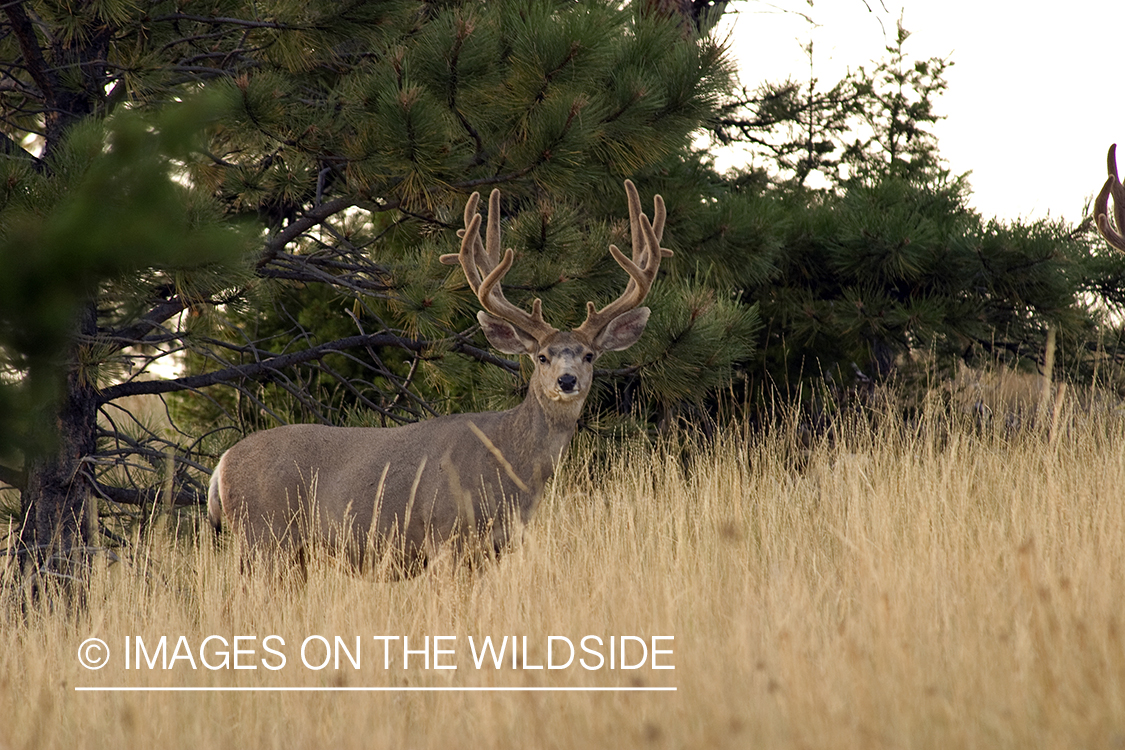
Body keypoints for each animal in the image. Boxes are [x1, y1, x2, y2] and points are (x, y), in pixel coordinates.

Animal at [207, 180, 671, 575]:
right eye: (541, 357)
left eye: (590, 355)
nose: (567, 381)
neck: (511, 466)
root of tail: (220, 467)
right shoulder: (447, 538)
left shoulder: (495, 548)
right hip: (266, 537)